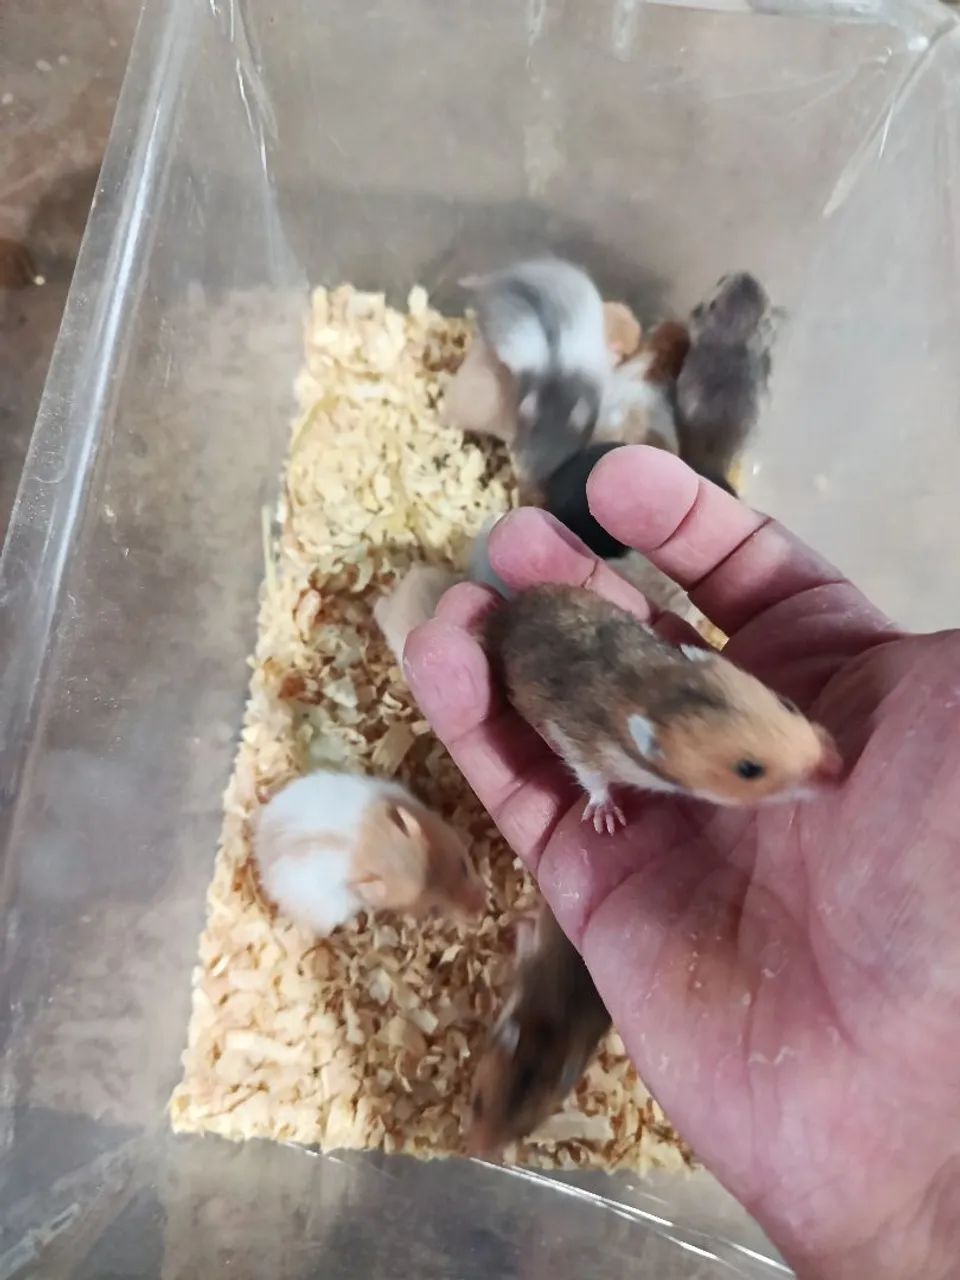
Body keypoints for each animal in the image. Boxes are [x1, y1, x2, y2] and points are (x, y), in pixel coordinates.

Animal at [484, 584, 842, 833]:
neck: (655, 691)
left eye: (787, 704)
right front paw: (607, 819)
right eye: (748, 770)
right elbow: (593, 780)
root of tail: (506, 610)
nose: (837, 769)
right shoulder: (582, 746)